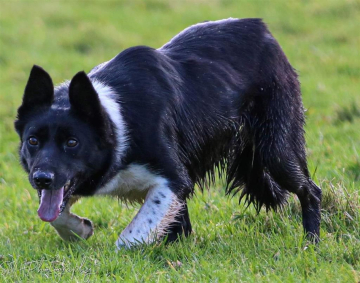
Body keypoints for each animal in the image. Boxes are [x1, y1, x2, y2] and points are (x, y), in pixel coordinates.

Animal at [15, 18, 322, 248]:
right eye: (33, 141)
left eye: (72, 142)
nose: (41, 179)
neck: (118, 122)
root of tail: (262, 29)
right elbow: (54, 213)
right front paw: (80, 229)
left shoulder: (174, 178)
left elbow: (130, 237)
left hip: (274, 148)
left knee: (311, 190)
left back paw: (311, 243)